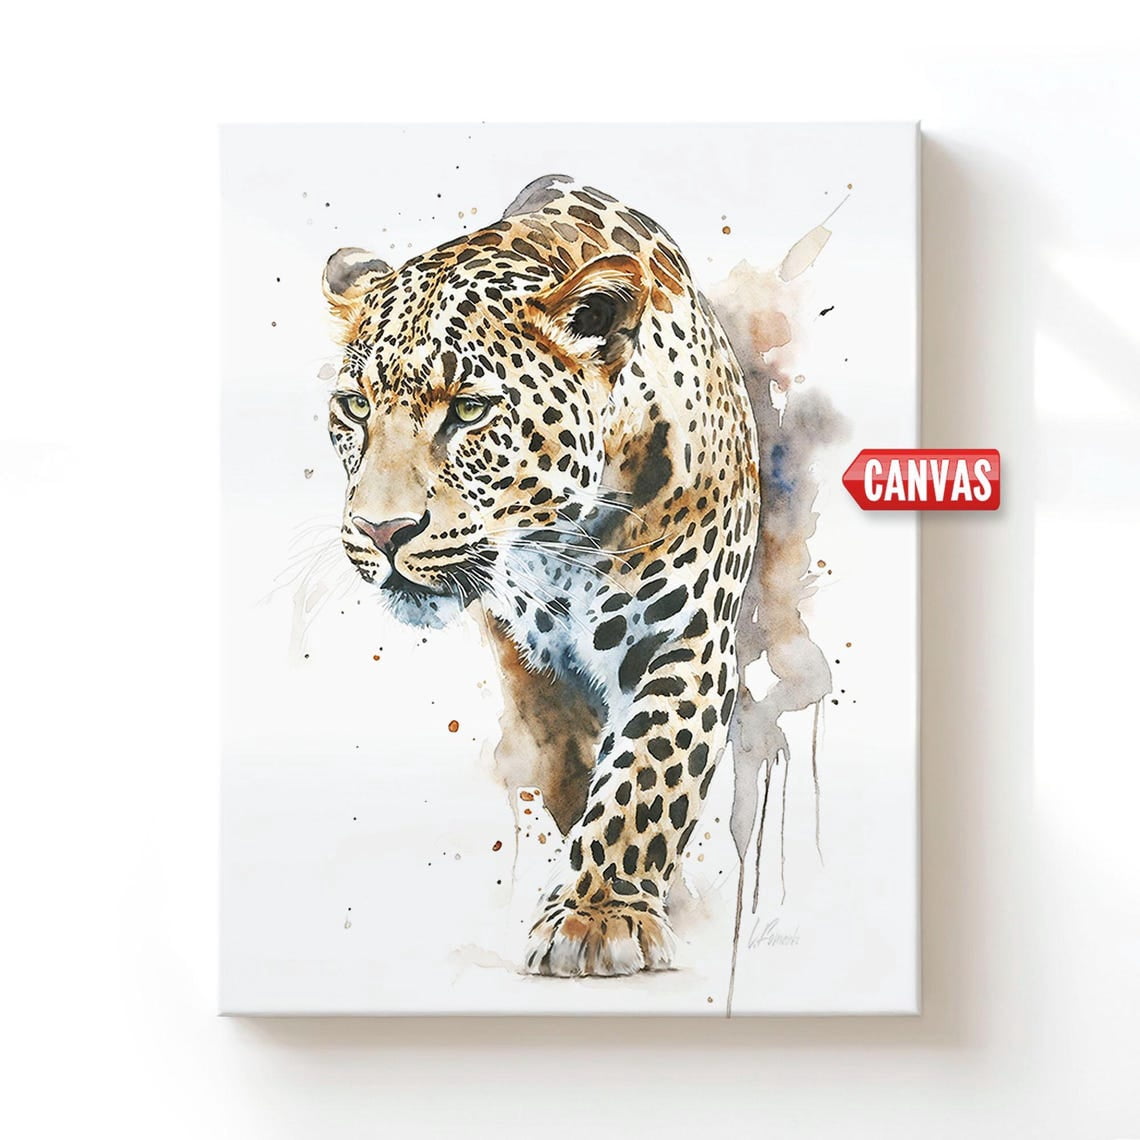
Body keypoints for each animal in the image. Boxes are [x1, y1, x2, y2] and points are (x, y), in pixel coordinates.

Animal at [321, 174, 760, 977]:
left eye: (469, 410)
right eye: (355, 406)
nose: (380, 531)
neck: (563, 546)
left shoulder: (688, 639)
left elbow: (647, 771)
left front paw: (601, 914)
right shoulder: (531, 662)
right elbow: (570, 770)